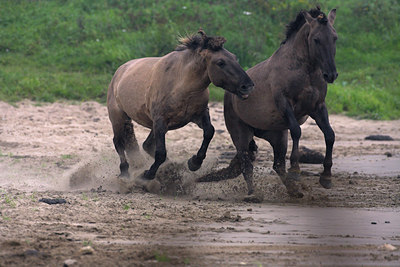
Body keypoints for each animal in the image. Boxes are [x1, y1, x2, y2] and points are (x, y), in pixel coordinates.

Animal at [107, 30, 253, 182]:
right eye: (220, 62)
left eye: (235, 57)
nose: (247, 86)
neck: (182, 87)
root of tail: (119, 72)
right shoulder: (160, 121)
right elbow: (161, 153)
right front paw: (148, 174)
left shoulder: (198, 115)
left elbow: (209, 131)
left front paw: (194, 162)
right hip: (118, 117)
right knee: (119, 142)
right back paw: (125, 173)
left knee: (146, 144)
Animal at [198, 7, 340, 198]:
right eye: (316, 39)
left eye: (334, 37)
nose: (330, 75)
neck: (305, 72)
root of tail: (230, 94)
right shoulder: (285, 104)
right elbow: (297, 131)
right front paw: (296, 171)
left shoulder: (317, 107)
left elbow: (330, 135)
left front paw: (326, 177)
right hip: (240, 134)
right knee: (246, 164)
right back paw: (253, 194)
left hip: (278, 136)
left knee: (277, 165)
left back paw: (294, 191)